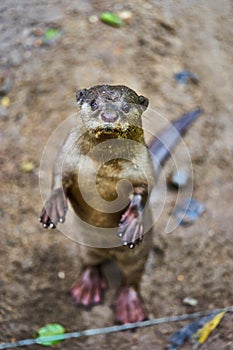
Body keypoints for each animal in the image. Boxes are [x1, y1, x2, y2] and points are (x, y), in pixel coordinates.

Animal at [39, 85, 200, 326]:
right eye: (94, 103)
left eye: (125, 106)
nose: (109, 115)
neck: (104, 167)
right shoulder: (66, 153)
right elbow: (58, 175)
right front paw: (54, 207)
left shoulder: (143, 166)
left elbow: (144, 189)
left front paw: (132, 222)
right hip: (84, 246)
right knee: (89, 262)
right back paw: (86, 288)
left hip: (138, 254)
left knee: (132, 277)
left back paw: (129, 306)